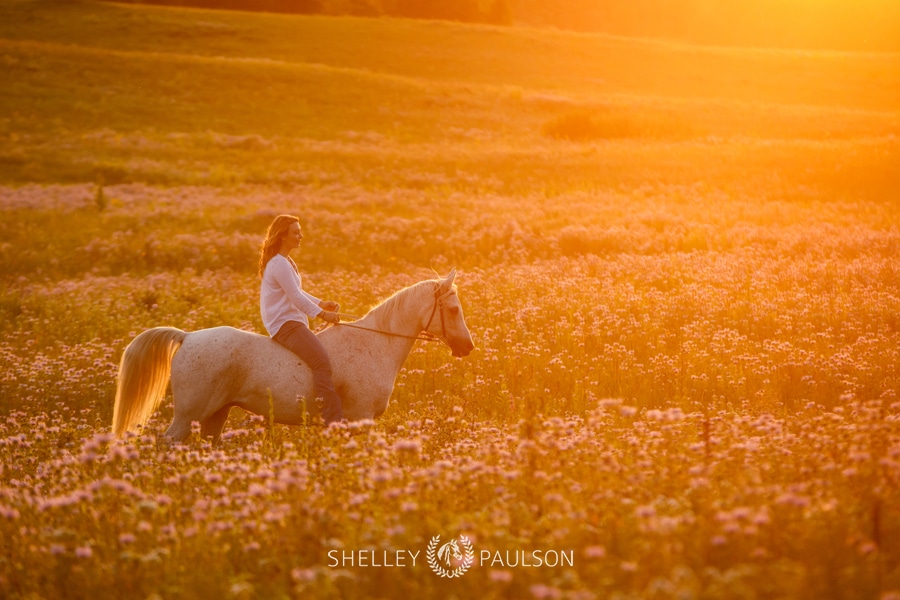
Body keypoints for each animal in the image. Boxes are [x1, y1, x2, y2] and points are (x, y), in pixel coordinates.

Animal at [112, 270, 474, 442]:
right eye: (453, 309)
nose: (467, 347)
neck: (375, 344)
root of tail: (187, 337)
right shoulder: (362, 420)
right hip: (188, 415)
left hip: (215, 415)